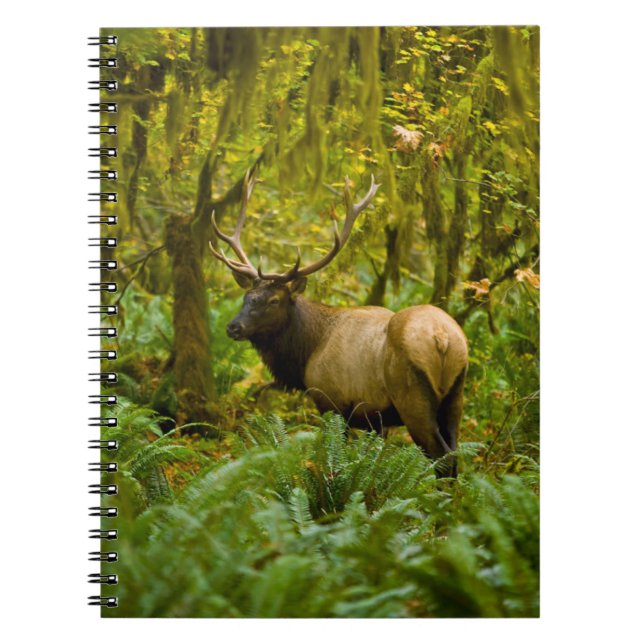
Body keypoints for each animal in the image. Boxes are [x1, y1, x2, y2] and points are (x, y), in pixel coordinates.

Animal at [209, 171, 468, 477]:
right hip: (456, 394)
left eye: (273, 300)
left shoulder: (331, 402)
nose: (233, 327)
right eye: (247, 296)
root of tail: (443, 338)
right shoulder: (375, 419)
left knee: (442, 457)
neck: (307, 352)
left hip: (413, 397)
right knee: (455, 454)